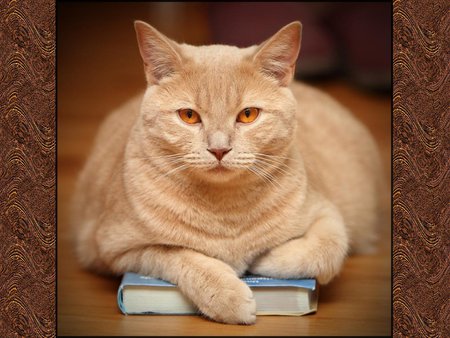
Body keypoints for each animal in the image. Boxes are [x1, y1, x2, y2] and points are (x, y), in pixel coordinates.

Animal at [70, 19, 384, 324]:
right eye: (189, 116)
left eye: (248, 115)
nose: (219, 149)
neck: (226, 211)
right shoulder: (116, 249)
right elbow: (181, 256)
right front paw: (227, 296)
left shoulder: (328, 215)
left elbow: (326, 250)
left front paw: (263, 259)